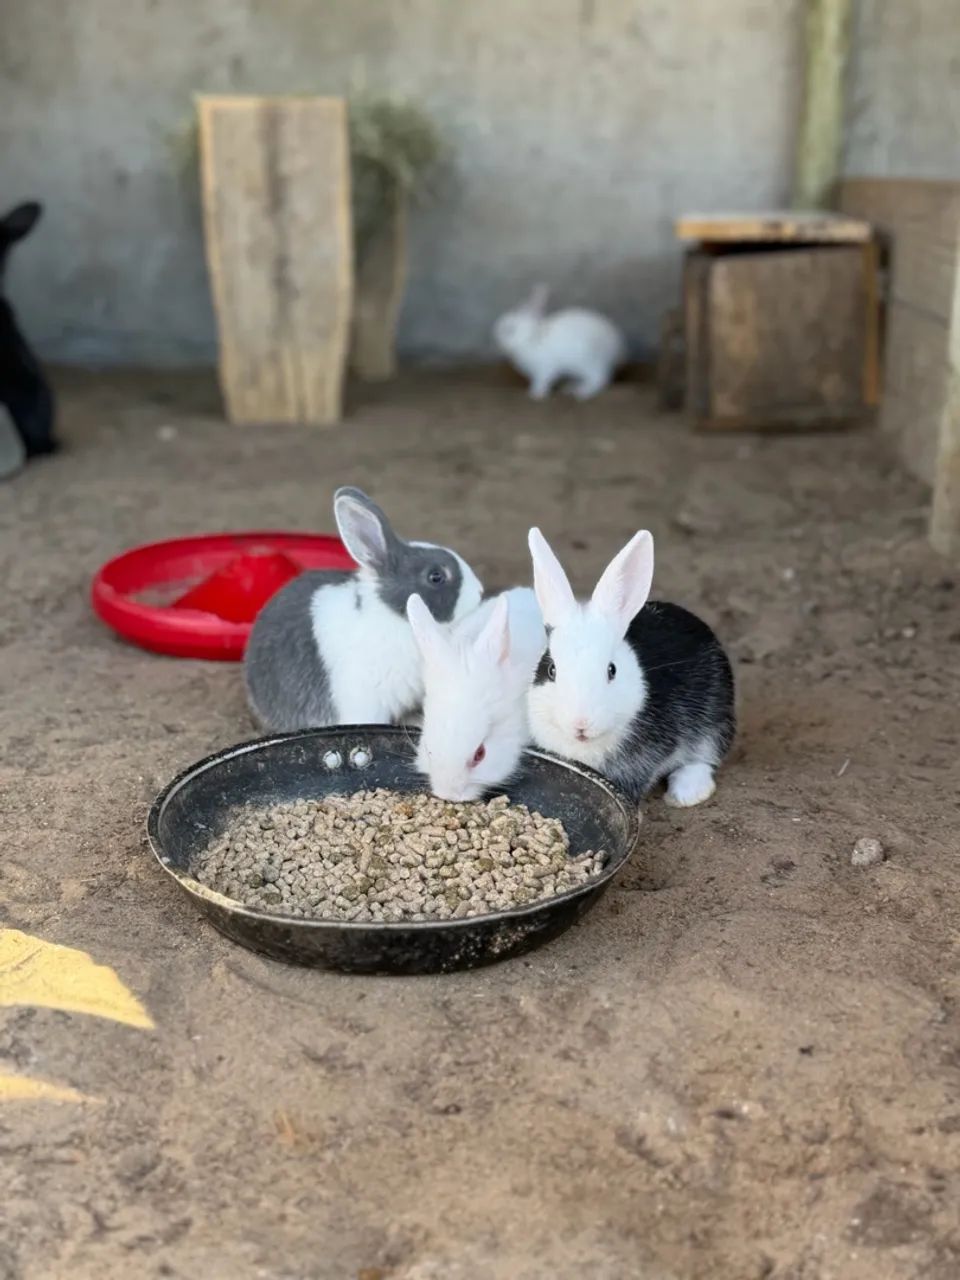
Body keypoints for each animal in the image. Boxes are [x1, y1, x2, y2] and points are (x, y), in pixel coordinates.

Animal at [493, 284, 626, 401]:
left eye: (509, 329)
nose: (497, 341)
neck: (532, 338)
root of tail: (618, 349)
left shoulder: (544, 368)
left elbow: (542, 380)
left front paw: (535, 394)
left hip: (590, 363)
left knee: (599, 379)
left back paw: (582, 391)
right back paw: (571, 385)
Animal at [526, 527, 735, 807]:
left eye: (611, 670)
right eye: (551, 670)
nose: (580, 724)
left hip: (714, 720)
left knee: (703, 758)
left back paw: (685, 794)